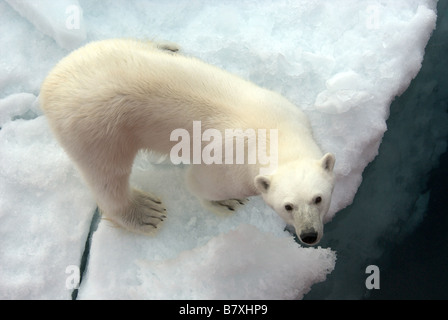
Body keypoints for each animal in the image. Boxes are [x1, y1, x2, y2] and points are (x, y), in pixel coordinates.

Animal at [40, 39, 334, 245]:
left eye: (319, 198)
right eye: (288, 206)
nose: (309, 235)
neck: (276, 134)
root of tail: (51, 83)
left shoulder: (291, 112)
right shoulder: (229, 168)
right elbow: (200, 184)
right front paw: (228, 202)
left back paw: (168, 47)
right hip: (96, 129)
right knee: (107, 175)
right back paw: (144, 212)